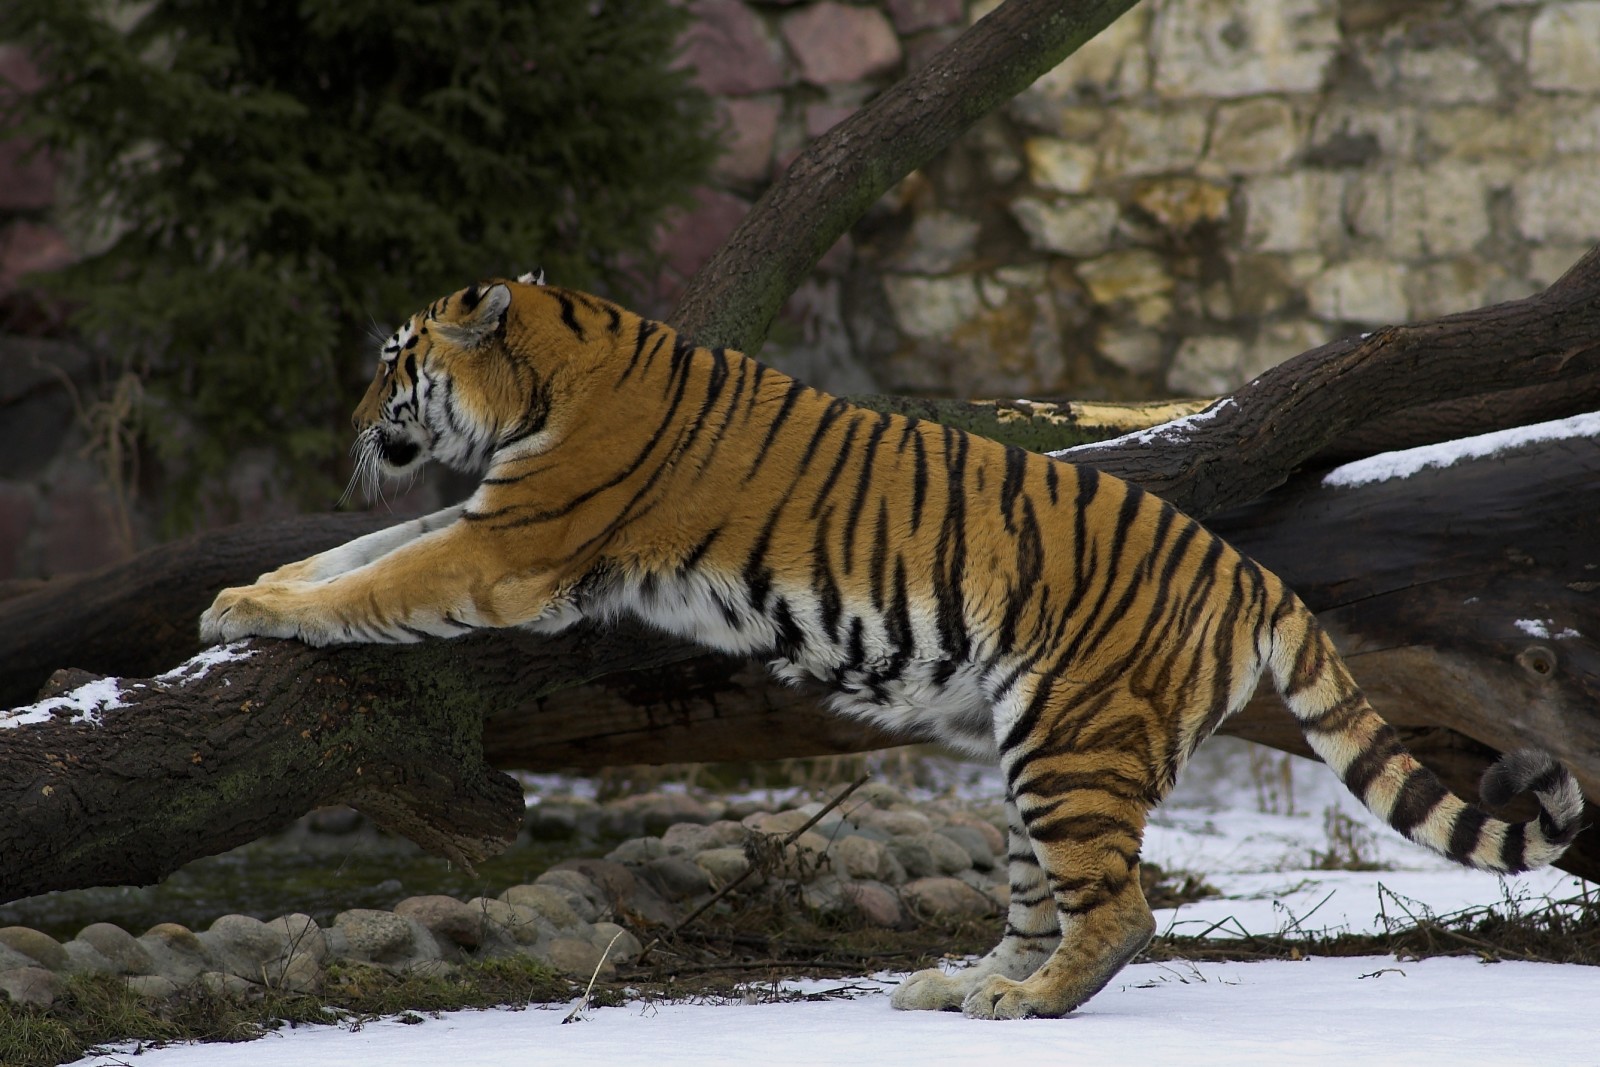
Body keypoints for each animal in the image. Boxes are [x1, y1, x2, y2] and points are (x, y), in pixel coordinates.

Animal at [203, 273, 1587, 1017]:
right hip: (1034, 754)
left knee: (1120, 908)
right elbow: (364, 549)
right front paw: (239, 589)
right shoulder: (486, 516)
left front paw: (255, 613)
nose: (353, 421)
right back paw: (953, 986)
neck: (552, 366)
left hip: (1070, 739)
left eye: (394, 360)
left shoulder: (510, 549)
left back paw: (1024, 1001)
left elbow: (384, 578)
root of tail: (1248, 567)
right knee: (1041, 897)